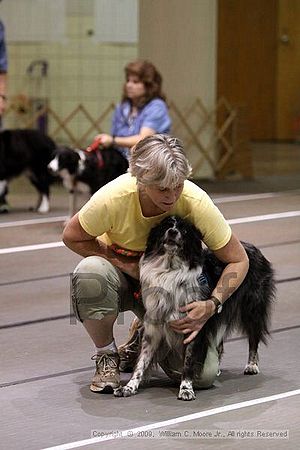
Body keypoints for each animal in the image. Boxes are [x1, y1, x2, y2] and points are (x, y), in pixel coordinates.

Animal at [115, 215, 276, 400]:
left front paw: (186, 388)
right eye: (166, 226)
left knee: (253, 337)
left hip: (252, 309)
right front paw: (129, 386)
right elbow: (142, 361)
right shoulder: (154, 329)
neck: (170, 269)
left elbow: (188, 360)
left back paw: (252, 365)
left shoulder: (194, 325)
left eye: (184, 230)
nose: (173, 231)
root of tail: (252, 247)